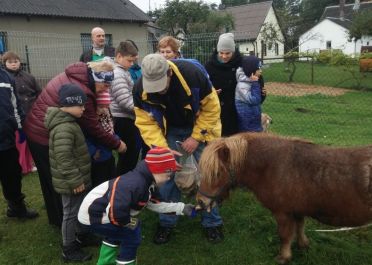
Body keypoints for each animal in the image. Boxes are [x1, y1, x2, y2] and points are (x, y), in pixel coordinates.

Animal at [196, 133, 372, 262]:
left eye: (217, 173)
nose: (200, 201)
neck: (273, 165)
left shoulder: (282, 212)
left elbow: (285, 235)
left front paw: (284, 257)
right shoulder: (298, 209)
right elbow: (300, 227)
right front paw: (303, 245)